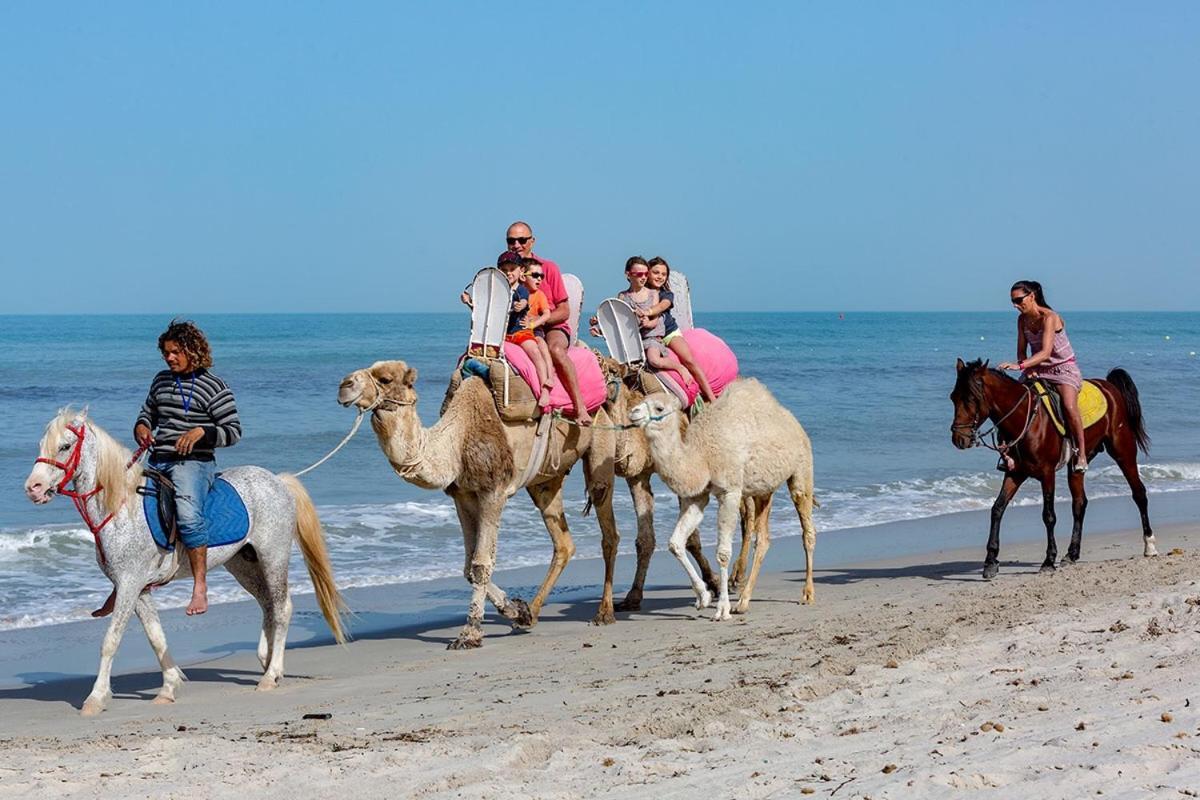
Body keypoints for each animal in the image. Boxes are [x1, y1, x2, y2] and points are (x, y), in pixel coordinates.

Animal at [23, 410, 348, 714]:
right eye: (41, 444)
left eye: (65, 446)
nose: (33, 488)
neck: (121, 507)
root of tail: (278, 481)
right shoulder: (138, 589)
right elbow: (156, 637)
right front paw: (168, 687)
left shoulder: (129, 585)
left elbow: (110, 640)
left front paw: (96, 698)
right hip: (243, 564)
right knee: (268, 605)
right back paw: (268, 663)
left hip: (273, 555)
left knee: (281, 608)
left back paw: (270, 675)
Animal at [336, 359, 619, 647]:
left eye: (384, 379)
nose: (344, 385)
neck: (457, 440)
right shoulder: (462, 495)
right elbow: (468, 567)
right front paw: (517, 610)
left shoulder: (493, 492)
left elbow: (481, 563)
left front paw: (469, 633)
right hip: (545, 480)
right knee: (563, 542)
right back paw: (532, 613)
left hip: (601, 445)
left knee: (608, 530)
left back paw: (605, 612)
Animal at [628, 379, 816, 623]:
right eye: (642, 400)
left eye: (659, 408)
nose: (633, 412)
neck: (702, 455)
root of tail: (794, 423)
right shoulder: (696, 497)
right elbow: (675, 543)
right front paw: (704, 596)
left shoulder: (730, 492)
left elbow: (723, 553)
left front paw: (722, 609)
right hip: (763, 490)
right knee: (763, 539)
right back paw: (743, 602)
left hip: (801, 467)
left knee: (806, 527)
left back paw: (807, 593)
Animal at [945, 359, 1152, 578]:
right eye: (953, 397)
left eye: (971, 398)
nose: (959, 439)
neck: (1025, 419)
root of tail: (1109, 386)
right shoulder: (1015, 472)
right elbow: (997, 508)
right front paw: (991, 561)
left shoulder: (1047, 473)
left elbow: (1048, 515)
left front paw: (1049, 559)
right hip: (1076, 464)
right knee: (1079, 503)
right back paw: (1072, 553)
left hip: (1122, 451)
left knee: (1139, 493)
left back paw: (1150, 545)